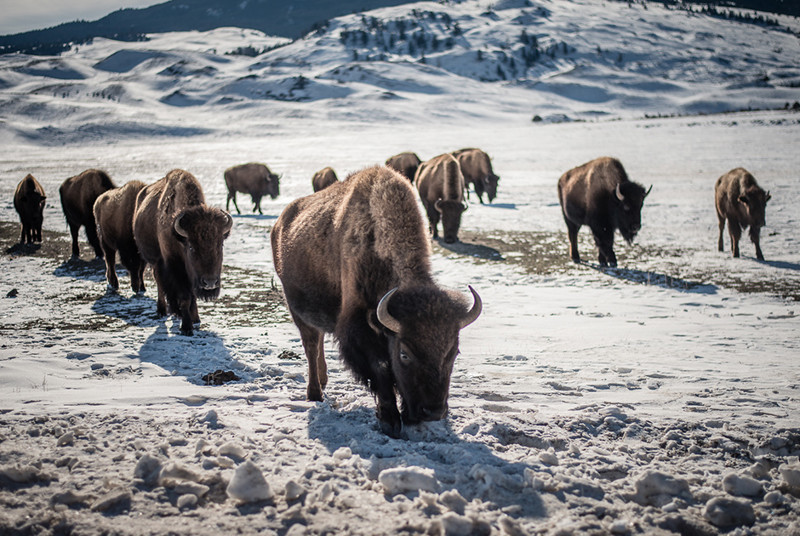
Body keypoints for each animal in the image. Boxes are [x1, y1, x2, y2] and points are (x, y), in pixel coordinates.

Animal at [133, 170, 233, 336]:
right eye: (191, 247)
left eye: (220, 245)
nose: (210, 283)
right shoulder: (174, 267)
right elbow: (184, 297)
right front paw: (186, 327)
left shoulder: (192, 276)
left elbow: (192, 295)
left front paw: (196, 319)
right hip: (155, 261)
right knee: (159, 282)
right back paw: (162, 310)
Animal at [272, 165, 482, 438]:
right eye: (404, 354)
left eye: (453, 352)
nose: (434, 411)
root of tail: (280, 223)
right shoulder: (358, 328)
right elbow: (380, 368)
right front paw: (389, 421)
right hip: (297, 309)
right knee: (311, 345)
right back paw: (315, 394)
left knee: (317, 343)